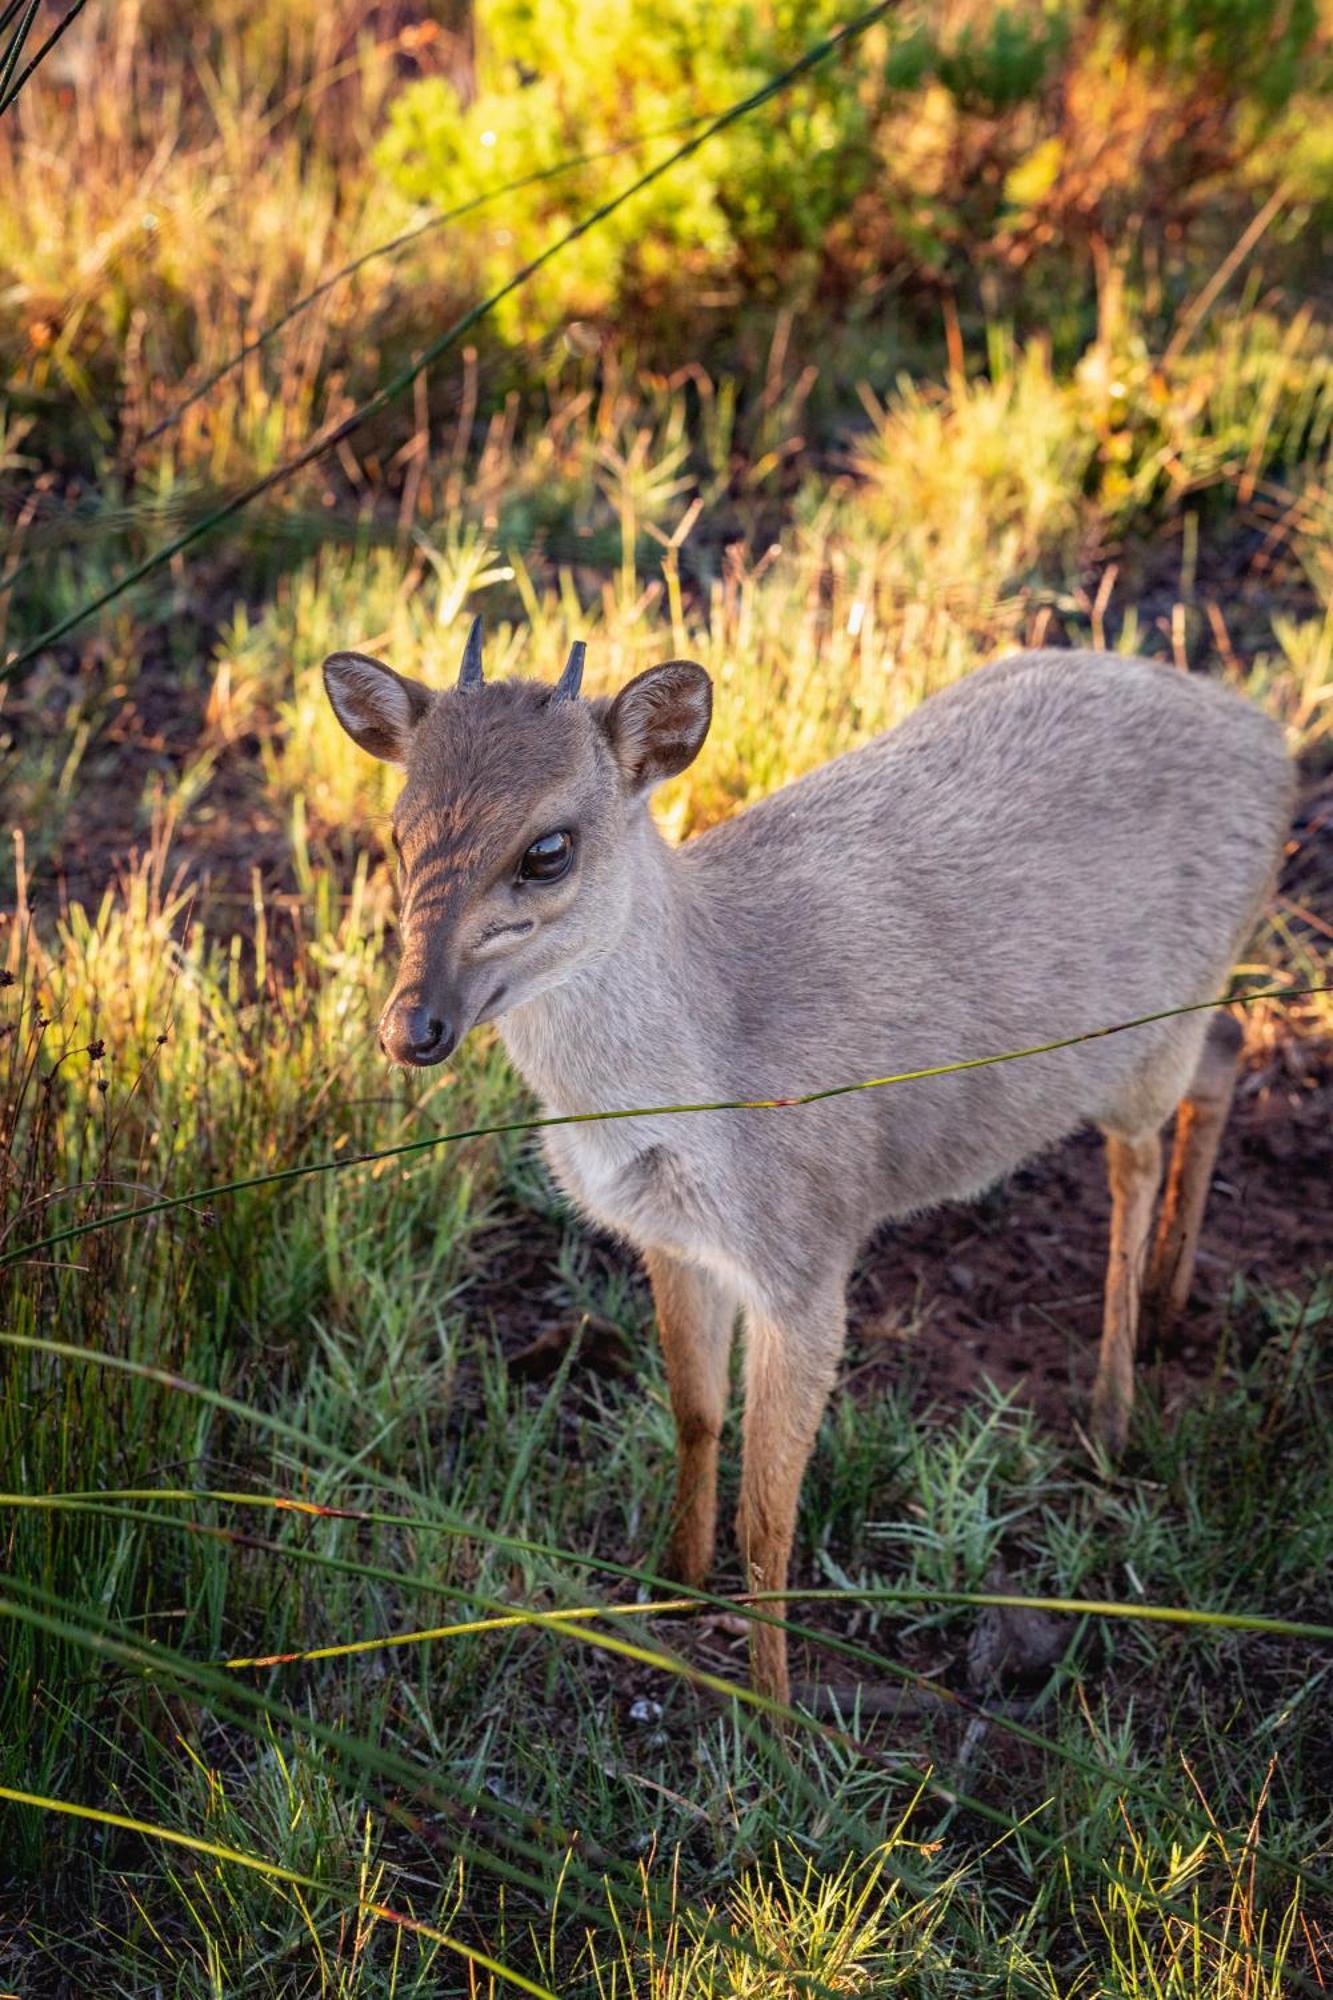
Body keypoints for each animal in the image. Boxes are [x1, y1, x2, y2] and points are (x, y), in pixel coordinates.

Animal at [322, 628, 1288, 1704]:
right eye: (398, 831)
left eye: (546, 849)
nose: (410, 1027)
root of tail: (1266, 734)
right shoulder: (673, 1240)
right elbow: (694, 1413)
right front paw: (670, 1584)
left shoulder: (807, 1252)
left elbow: (770, 1514)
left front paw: (776, 1708)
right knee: (1231, 1047)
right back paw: (1164, 1306)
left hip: (1145, 1038)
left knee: (1140, 1150)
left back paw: (1112, 1410)